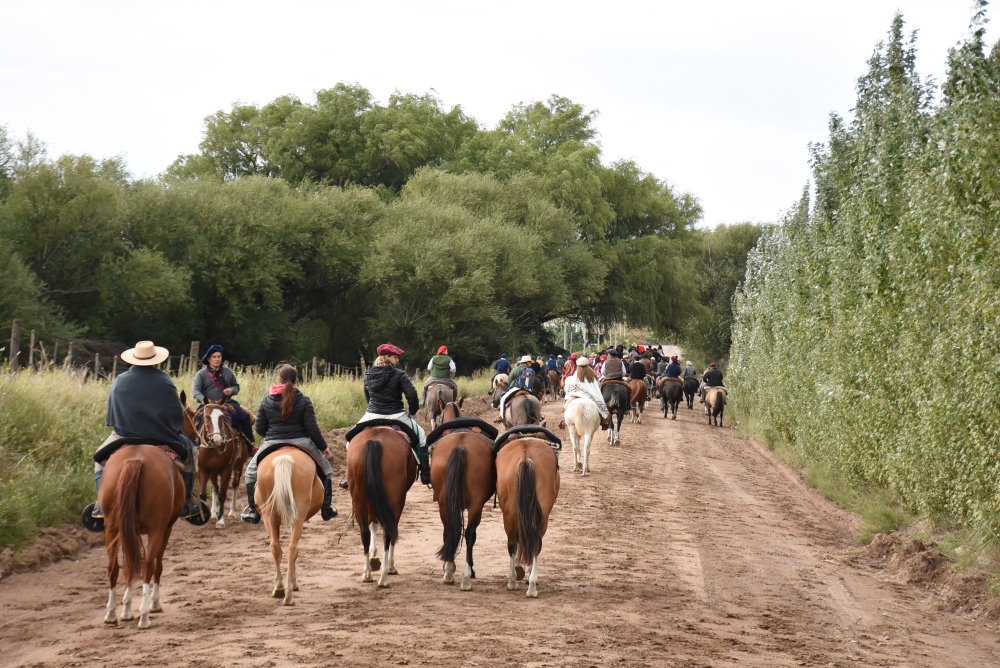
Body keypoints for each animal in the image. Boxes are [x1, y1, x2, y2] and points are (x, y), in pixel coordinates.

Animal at [100, 444, 183, 628]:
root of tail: (135, 460)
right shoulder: (166, 529)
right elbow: (157, 566)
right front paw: (154, 603)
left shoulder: (128, 532)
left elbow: (130, 565)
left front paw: (126, 610)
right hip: (156, 530)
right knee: (149, 565)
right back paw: (145, 615)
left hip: (112, 527)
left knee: (113, 567)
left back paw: (111, 613)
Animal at [256, 446, 322, 604]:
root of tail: (284, 458)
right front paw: (294, 582)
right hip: (297, 518)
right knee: (292, 549)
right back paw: (289, 594)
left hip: (269, 516)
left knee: (276, 547)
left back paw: (280, 589)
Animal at [348, 426, 418, 588]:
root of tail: (374, 440)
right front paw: (389, 566)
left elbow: (372, 525)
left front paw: (373, 557)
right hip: (394, 501)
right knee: (388, 532)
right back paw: (385, 575)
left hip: (359, 499)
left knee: (364, 533)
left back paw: (367, 574)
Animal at [424, 402, 498, 588]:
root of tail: (460, 447)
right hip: (475, 505)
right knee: (470, 533)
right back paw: (467, 573)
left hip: (444, 503)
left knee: (448, 530)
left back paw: (449, 570)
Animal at [494, 430, 560, 596]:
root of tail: (525, 457)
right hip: (541, 516)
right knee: (535, 543)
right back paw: (532, 585)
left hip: (509, 513)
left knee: (512, 543)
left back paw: (513, 581)